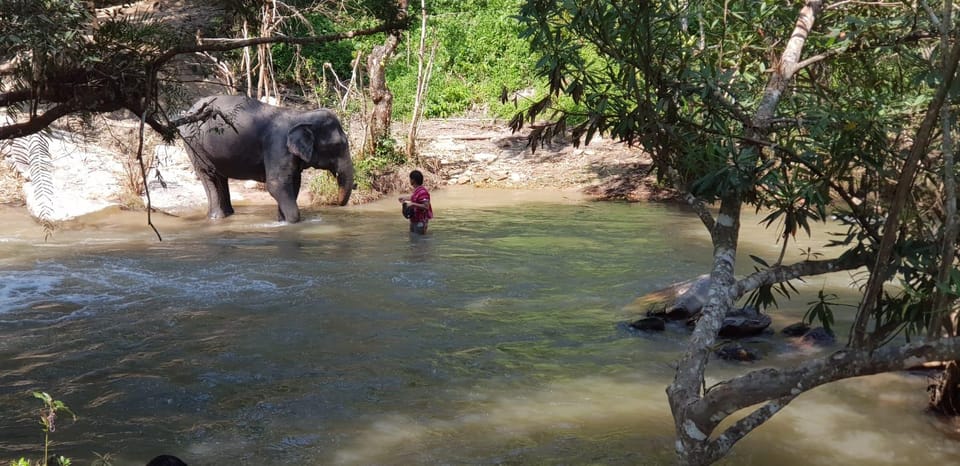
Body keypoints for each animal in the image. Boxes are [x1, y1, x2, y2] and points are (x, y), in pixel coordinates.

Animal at [180, 94, 352, 222]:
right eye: (338, 145)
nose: (336, 203)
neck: (300, 115)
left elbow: (293, 183)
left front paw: (282, 220)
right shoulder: (277, 146)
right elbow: (276, 184)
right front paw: (293, 222)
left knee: (220, 177)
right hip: (194, 145)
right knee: (210, 176)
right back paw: (218, 217)